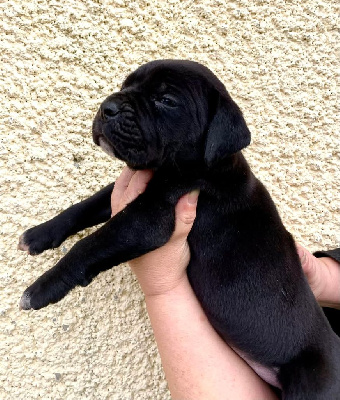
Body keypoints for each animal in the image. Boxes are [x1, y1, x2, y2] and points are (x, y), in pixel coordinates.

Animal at [19, 59, 340, 396]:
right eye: (125, 86)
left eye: (166, 100)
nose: (108, 107)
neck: (201, 165)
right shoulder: (131, 196)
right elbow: (86, 206)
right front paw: (40, 234)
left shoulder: (149, 218)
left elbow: (91, 244)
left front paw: (41, 289)